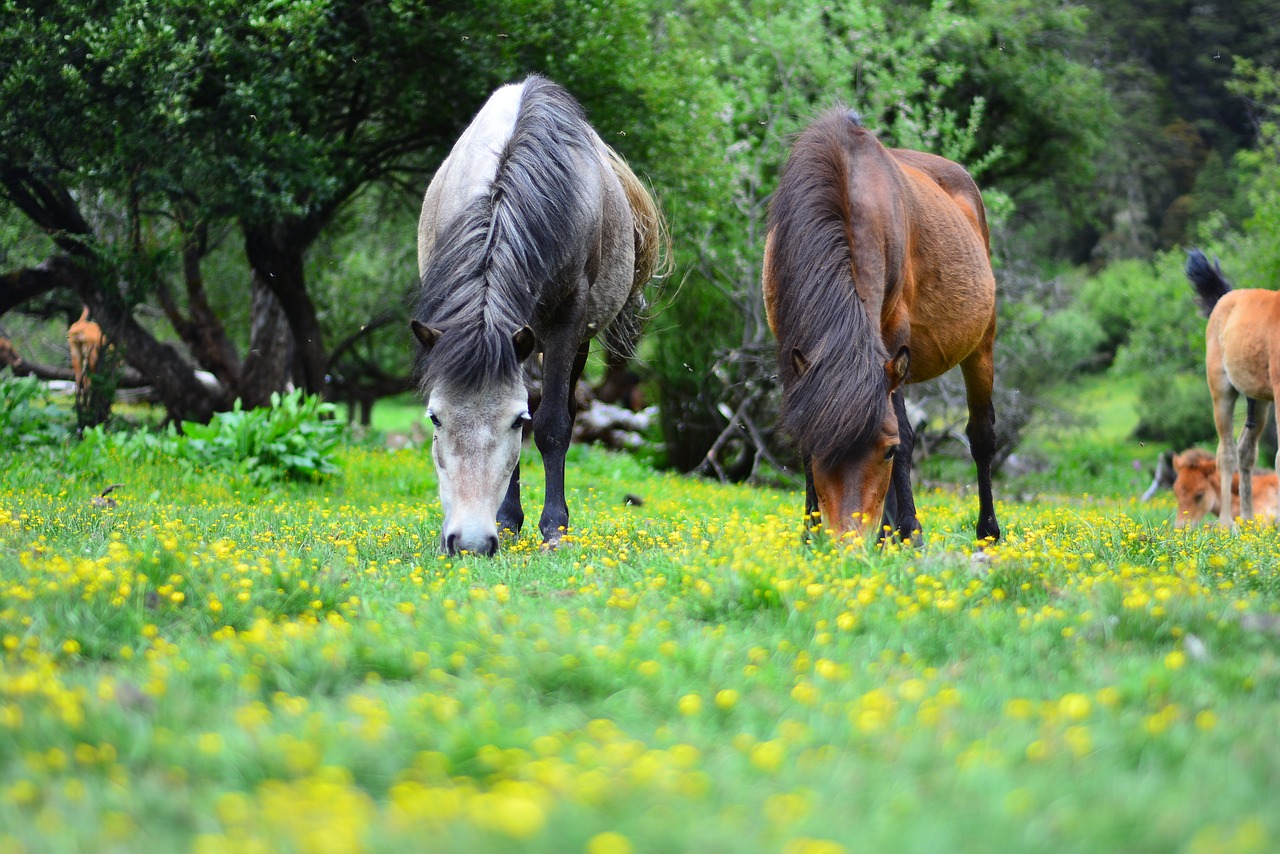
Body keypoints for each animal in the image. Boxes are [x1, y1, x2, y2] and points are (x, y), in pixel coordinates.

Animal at [412, 76, 670, 558]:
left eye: (514, 421)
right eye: (435, 417)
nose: (469, 542)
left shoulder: (569, 319)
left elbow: (550, 424)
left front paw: (554, 528)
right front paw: (508, 520)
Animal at [757, 110, 998, 545]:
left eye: (886, 450)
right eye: (816, 448)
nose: (848, 540)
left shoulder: (893, 335)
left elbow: (906, 434)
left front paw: (909, 531)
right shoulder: (789, 347)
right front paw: (810, 531)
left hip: (981, 346)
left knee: (981, 437)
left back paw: (987, 531)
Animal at [1177, 248, 1280, 527]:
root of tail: (1226, 297)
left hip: (1260, 400)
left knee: (1246, 452)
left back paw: (1249, 521)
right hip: (1222, 391)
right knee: (1226, 453)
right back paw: (1226, 524)